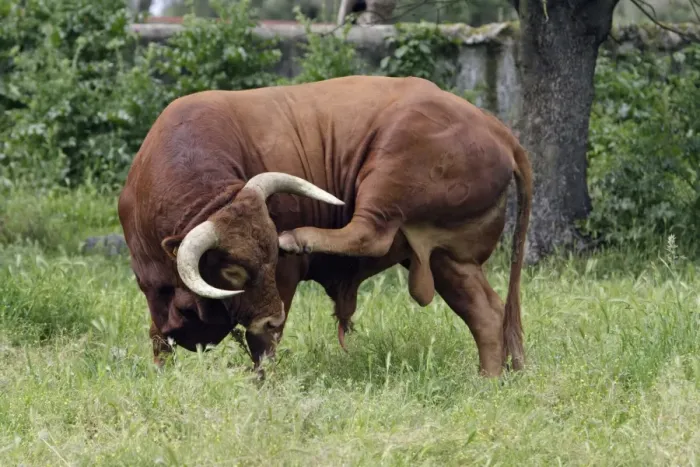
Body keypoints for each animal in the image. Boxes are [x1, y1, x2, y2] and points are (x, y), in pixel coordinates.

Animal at [117, 75, 532, 377]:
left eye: (272, 259)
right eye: (233, 271)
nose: (272, 318)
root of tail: (497, 128)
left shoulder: (283, 284)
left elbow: (262, 349)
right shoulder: (154, 293)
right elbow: (159, 341)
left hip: (388, 171)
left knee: (370, 233)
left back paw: (300, 236)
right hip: (448, 258)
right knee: (487, 313)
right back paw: (490, 380)